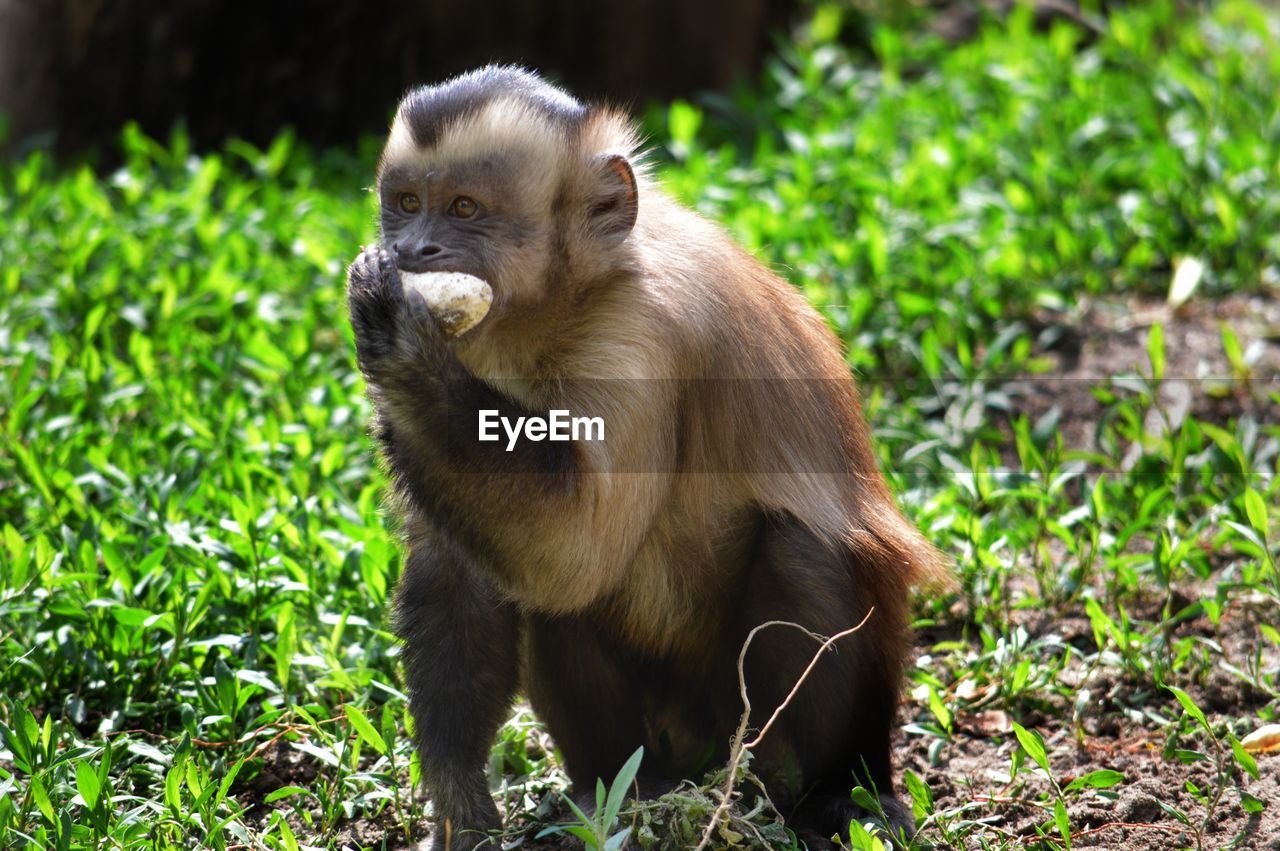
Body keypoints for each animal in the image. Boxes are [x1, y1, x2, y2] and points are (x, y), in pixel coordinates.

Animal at [345, 63, 947, 844]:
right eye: (408, 205)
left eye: (464, 208)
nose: (415, 253)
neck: (568, 299)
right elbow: (479, 566)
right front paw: (459, 807)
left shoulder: (641, 336)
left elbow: (576, 547)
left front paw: (402, 337)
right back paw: (621, 788)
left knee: (800, 549)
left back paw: (819, 793)